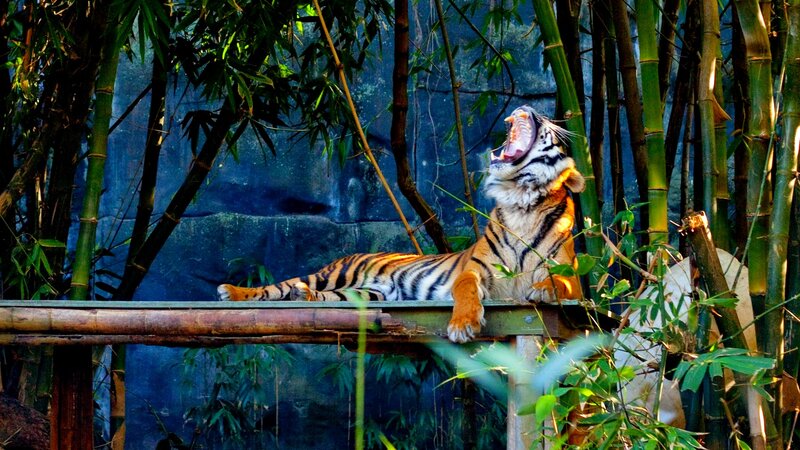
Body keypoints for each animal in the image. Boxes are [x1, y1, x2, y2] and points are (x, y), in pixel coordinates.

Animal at [217, 105, 586, 343]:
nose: (528, 106)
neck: (520, 200)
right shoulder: (474, 270)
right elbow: (465, 289)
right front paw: (462, 325)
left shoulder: (570, 274)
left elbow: (561, 282)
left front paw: (542, 288)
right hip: (334, 274)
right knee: (276, 286)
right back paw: (233, 291)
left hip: (363, 293)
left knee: (319, 296)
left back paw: (302, 297)